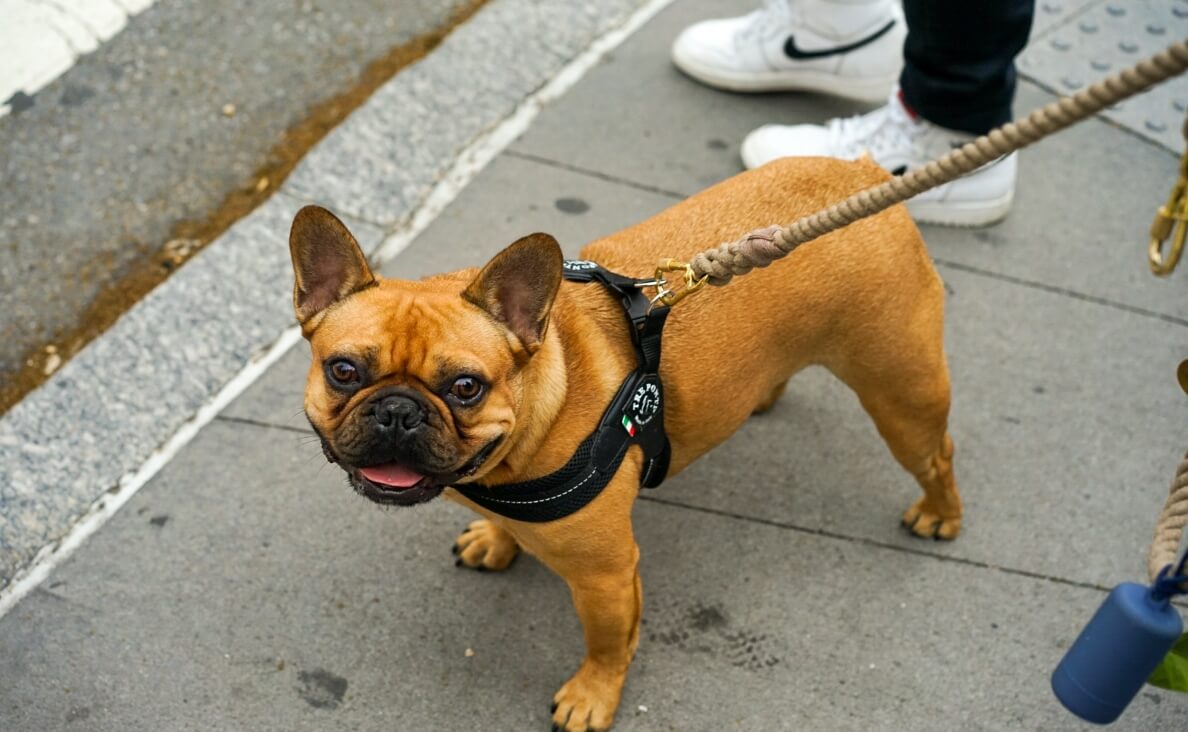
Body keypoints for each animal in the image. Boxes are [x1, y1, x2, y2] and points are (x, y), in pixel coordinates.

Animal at [289, 156, 964, 727]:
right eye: (343, 370)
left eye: (465, 387)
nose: (397, 412)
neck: (547, 395)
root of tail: (866, 172)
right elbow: (508, 527)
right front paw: (496, 540)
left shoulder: (606, 576)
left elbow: (609, 643)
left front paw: (593, 696)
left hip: (901, 392)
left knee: (937, 455)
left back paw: (939, 514)